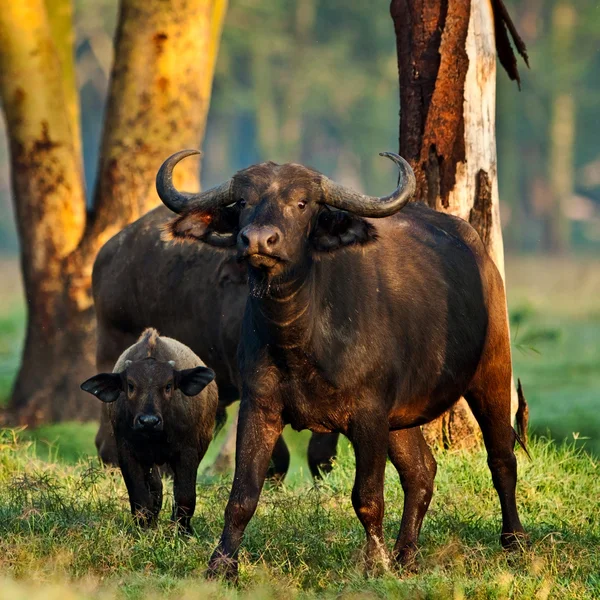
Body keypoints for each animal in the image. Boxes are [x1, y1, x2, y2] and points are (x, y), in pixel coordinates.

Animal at [81, 326, 217, 532]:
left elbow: (185, 495)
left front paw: (181, 530)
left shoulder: (188, 452)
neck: (155, 436)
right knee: (155, 486)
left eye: (168, 386)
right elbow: (140, 496)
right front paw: (145, 527)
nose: (148, 421)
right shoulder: (127, 453)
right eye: (130, 385)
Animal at [157, 148, 528, 580]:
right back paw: (406, 555)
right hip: (400, 417)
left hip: (492, 370)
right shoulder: (260, 406)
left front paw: (374, 563)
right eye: (244, 202)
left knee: (501, 458)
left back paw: (514, 542)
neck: (300, 338)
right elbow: (242, 496)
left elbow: (367, 497)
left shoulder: (368, 415)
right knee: (421, 471)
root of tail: (480, 254)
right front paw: (221, 565)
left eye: (302, 203)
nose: (259, 240)